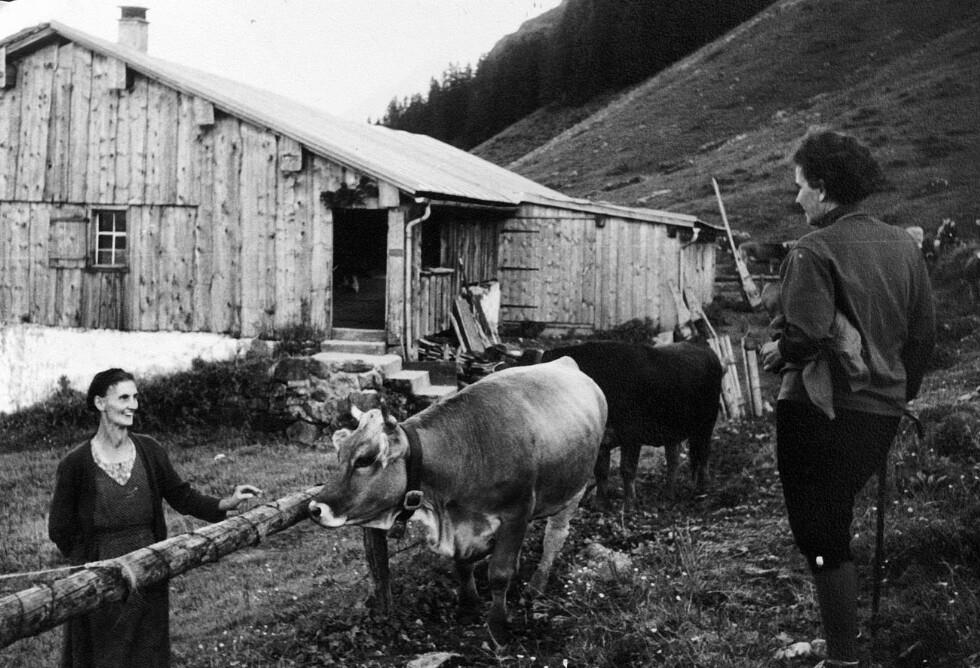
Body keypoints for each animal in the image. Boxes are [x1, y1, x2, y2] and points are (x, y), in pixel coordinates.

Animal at [308, 357, 607, 645]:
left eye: (365, 459)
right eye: (340, 454)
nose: (315, 508)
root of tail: (565, 362)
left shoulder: (516, 512)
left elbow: (499, 574)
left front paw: (498, 629)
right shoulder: (464, 526)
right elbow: (462, 565)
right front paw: (468, 606)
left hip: (574, 490)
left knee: (554, 537)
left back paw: (537, 584)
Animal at [541, 341, 723, 510]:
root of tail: (707, 351)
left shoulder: (632, 436)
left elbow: (627, 469)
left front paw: (629, 504)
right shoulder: (603, 440)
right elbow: (601, 471)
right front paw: (600, 504)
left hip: (707, 424)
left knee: (704, 453)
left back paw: (702, 489)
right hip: (672, 432)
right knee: (674, 460)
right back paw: (668, 495)